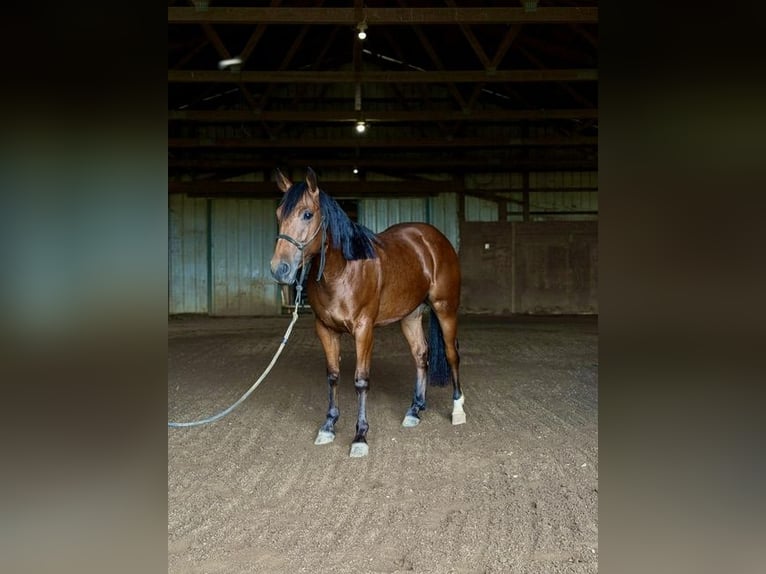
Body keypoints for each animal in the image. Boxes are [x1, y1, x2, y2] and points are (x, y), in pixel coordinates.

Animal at [270, 167, 465, 457]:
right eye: (279, 213)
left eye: (307, 214)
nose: (279, 269)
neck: (343, 270)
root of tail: (434, 239)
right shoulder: (325, 329)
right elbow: (333, 376)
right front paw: (328, 426)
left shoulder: (364, 330)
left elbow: (361, 381)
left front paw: (360, 436)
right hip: (410, 316)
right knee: (421, 355)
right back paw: (415, 410)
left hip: (445, 308)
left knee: (452, 354)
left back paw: (458, 409)